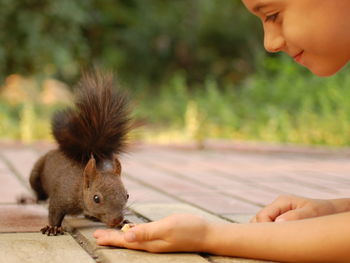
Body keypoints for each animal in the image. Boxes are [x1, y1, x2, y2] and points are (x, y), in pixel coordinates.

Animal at [29, 72, 131, 237]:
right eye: (96, 198)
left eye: (127, 195)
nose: (117, 220)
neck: (81, 186)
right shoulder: (61, 196)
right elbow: (54, 213)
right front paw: (53, 228)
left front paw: (124, 222)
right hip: (36, 174)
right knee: (38, 191)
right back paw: (36, 199)